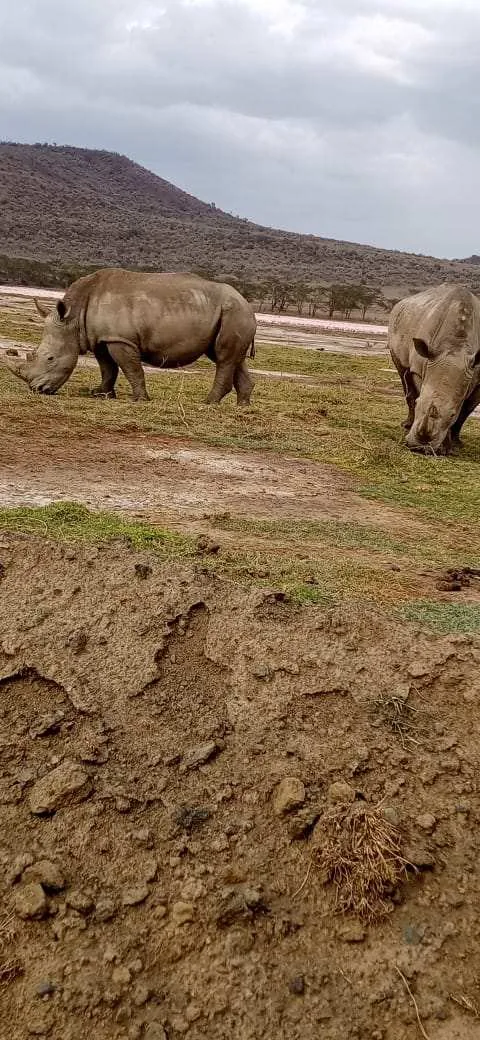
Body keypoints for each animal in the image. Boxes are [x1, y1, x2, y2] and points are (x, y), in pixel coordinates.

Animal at [4, 269, 256, 405]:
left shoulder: (120, 339)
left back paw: (208, 403)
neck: (73, 318)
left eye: (50, 358)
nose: (37, 390)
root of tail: (247, 303)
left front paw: (139, 399)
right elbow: (107, 368)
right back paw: (241, 406)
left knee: (224, 358)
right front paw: (101, 394)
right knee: (230, 358)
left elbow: (130, 368)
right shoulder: (103, 338)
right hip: (230, 313)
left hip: (235, 312)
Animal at [388, 283, 480, 454]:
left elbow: (466, 411)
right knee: (403, 373)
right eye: (419, 403)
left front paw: (454, 444)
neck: (455, 346)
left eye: (452, 415)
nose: (420, 447)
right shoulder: (422, 365)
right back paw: (406, 425)